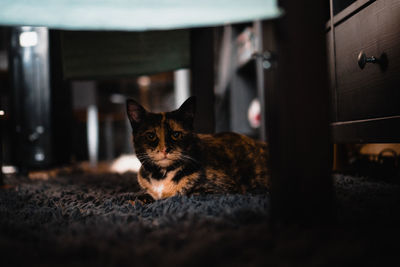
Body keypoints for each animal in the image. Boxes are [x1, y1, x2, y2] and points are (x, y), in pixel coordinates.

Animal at [126, 97, 268, 201]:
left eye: (176, 134)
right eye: (151, 136)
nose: (165, 149)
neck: (161, 176)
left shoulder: (223, 189)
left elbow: (186, 194)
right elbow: (139, 196)